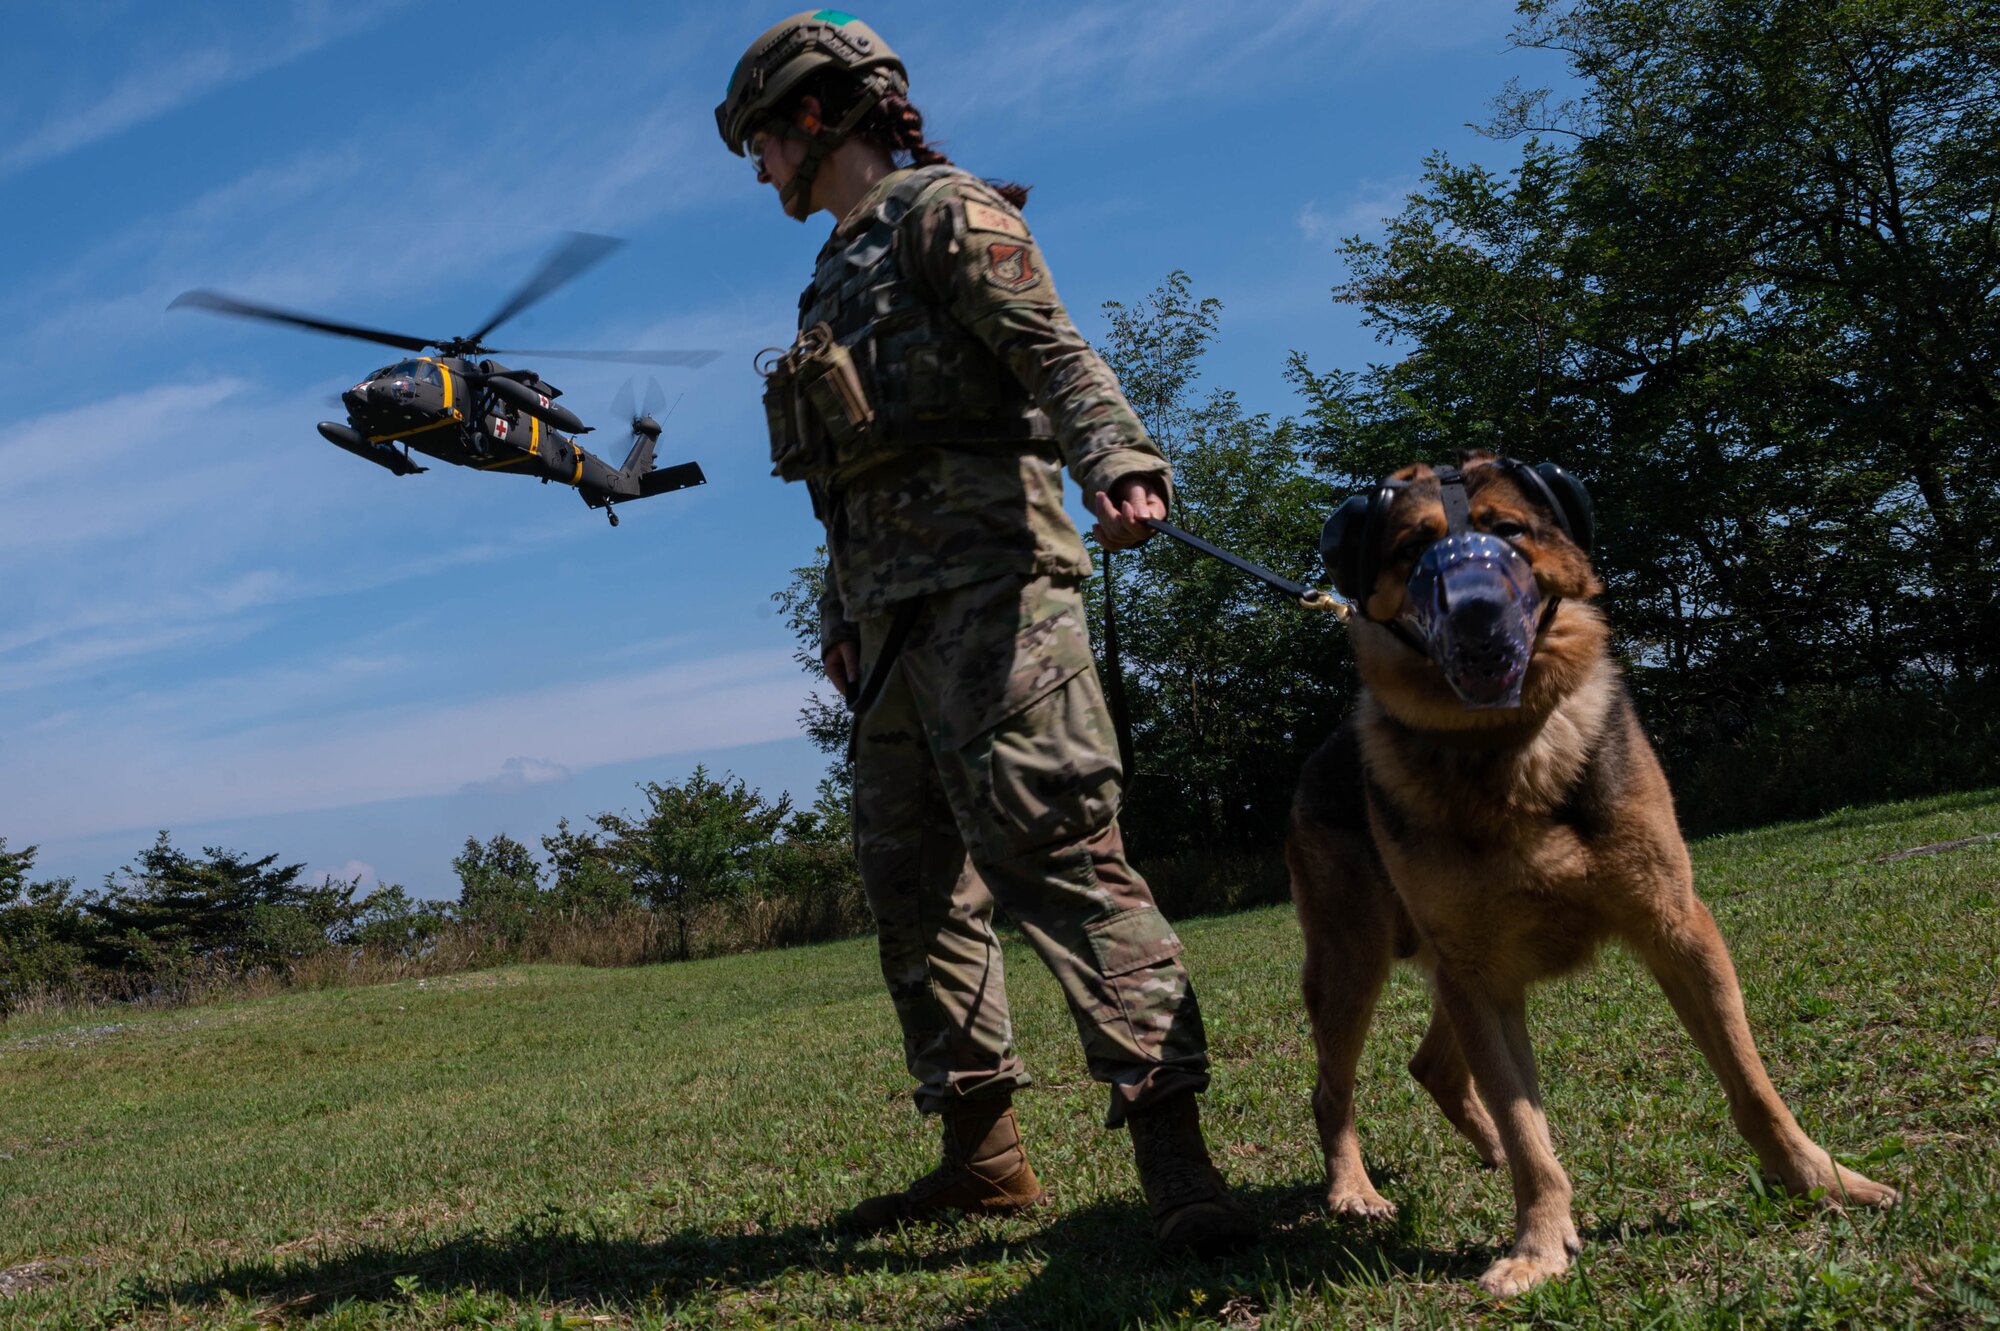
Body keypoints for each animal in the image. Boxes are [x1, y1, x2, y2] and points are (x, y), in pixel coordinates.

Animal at [1288, 455, 1896, 1295]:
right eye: (1412, 548)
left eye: (1509, 529)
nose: (1475, 613)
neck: (1507, 751)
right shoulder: (1481, 979)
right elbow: (1528, 1129)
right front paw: (1539, 1242)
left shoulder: (1677, 928)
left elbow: (1751, 1084)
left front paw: (1821, 1181)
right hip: (1357, 963)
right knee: (1332, 1090)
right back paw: (1355, 1190)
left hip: (1445, 972)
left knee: (1433, 1065)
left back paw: (1484, 1149)